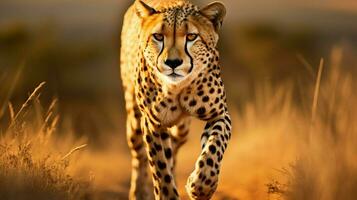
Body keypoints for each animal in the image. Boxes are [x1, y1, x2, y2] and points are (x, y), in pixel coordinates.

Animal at [119, 0, 231, 199]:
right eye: (158, 36)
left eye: (192, 36)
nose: (172, 63)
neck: (178, 88)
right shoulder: (152, 123)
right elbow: (160, 167)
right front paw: (168, 193)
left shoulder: (219, 114)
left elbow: (214, 146)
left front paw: (202, 184)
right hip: (134, 119)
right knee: (139, 155)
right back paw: (138, 192)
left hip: (182, 129)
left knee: (174, 146)